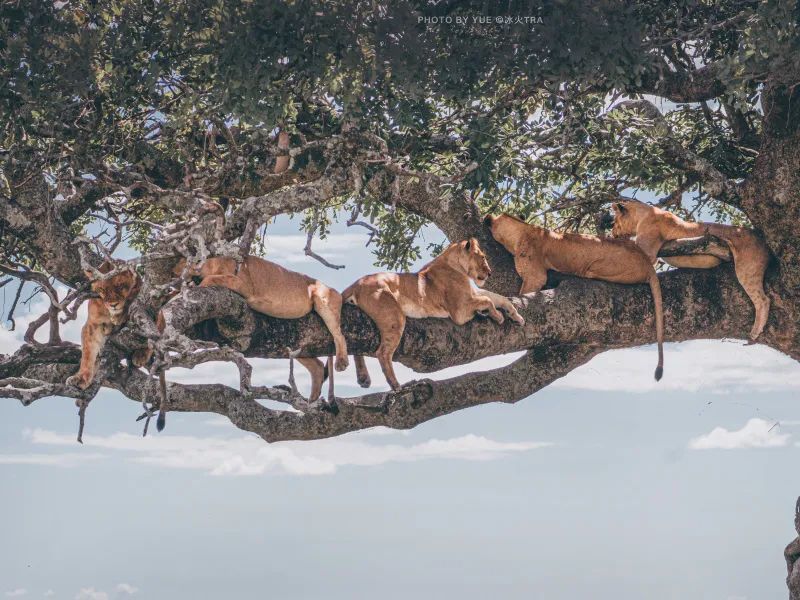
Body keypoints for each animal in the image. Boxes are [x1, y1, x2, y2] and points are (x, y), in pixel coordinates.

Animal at [342, 237, 524, 392]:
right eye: (483, 257)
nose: (490, 273)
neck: (455, 265)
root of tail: (355, 283)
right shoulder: (459, 311)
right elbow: (487, 299)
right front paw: (497, 316)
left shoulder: (473, 293)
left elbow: (497, 297)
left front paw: (517, 316)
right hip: (394, 316)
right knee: (382, 352)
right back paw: (396, 386)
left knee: (358, 344)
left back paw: (364, 378)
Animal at [608, 199, 768, 342]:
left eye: (614, 222)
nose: (612, 233)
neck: (644, 214)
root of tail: (761, 237)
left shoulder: (647, 251)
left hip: (747, 268)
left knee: (764, 300)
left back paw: (755, 332)